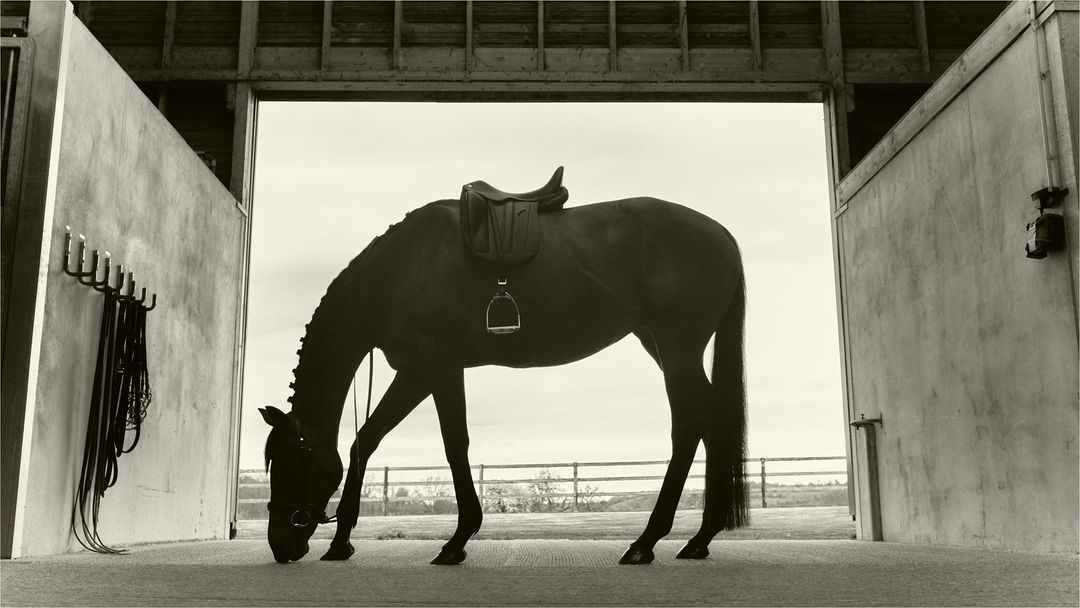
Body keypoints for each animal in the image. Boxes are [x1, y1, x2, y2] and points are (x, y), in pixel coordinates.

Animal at [259, 184, 749, 566]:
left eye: (289, 462)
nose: (280, 545)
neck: (395, 274)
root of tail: (722, 233)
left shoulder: (436, 368)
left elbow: (454, 444)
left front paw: (457, 541)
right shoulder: (416, 373)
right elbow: (367, 440)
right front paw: (341, 542)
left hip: (677, 349)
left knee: (689, 423)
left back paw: (646, 542)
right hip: (664, 347)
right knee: (711, 420)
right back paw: (699, 539)